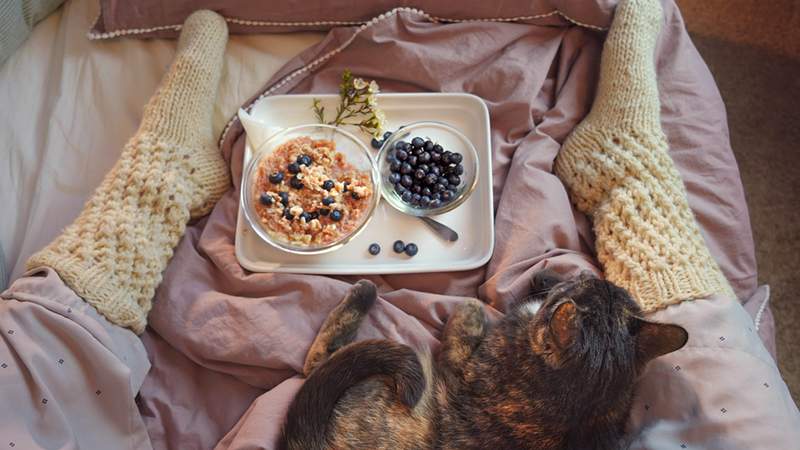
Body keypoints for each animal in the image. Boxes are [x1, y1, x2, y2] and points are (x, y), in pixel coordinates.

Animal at [280, 270, 688, 450]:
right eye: (606, 284)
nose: (586, 272)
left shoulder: (459, 367)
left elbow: (466, 321)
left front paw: (471, 306)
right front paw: (544, 273)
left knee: (317, 363)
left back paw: (364, 291)